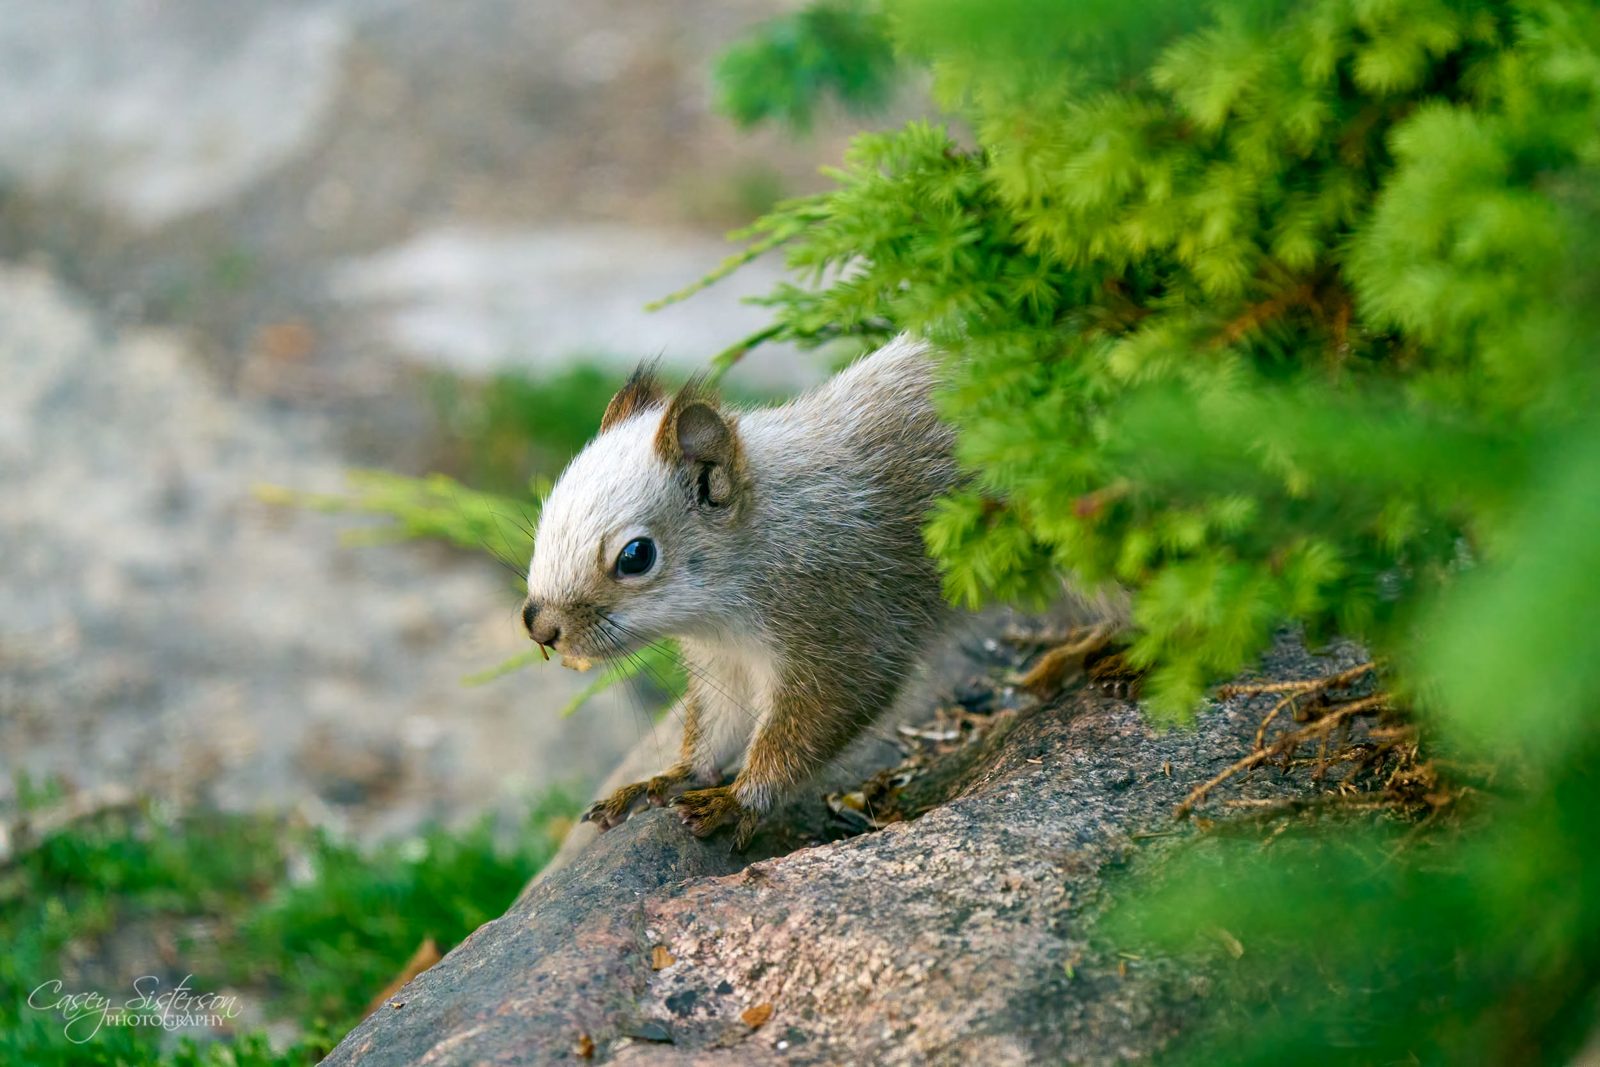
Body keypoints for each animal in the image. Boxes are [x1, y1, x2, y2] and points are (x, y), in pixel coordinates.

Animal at [522, 335, 957, 849]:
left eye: (636, 556)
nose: (539, 627)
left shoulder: (844, 623)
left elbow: (812, 723)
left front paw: (736, 801)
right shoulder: (723, 662)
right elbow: (717, 725)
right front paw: (668, 778)